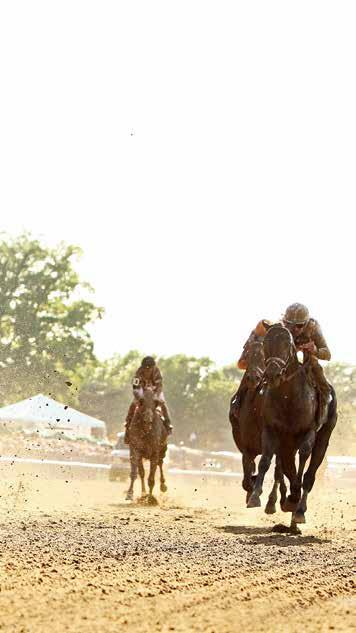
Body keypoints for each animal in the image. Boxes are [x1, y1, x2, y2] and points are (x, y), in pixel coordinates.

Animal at [229, 340, 288, 512]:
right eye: (247, 355)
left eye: (264, 357)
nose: (253, 378)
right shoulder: (246, 448)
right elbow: (247, 477)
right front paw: (253, 492)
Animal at [248, 324, 336, 520]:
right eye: (265, 343)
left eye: (288, 344)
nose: (273, 374)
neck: (289, 397)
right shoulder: (271, 430)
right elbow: (265, 460)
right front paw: (255, 496)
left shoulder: (308, 432)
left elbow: (303, 459)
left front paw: (295, 498)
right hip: (287, 444)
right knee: (283, 467)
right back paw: (279, 501)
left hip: (323, 438)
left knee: (310, 474)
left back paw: (299, 509)